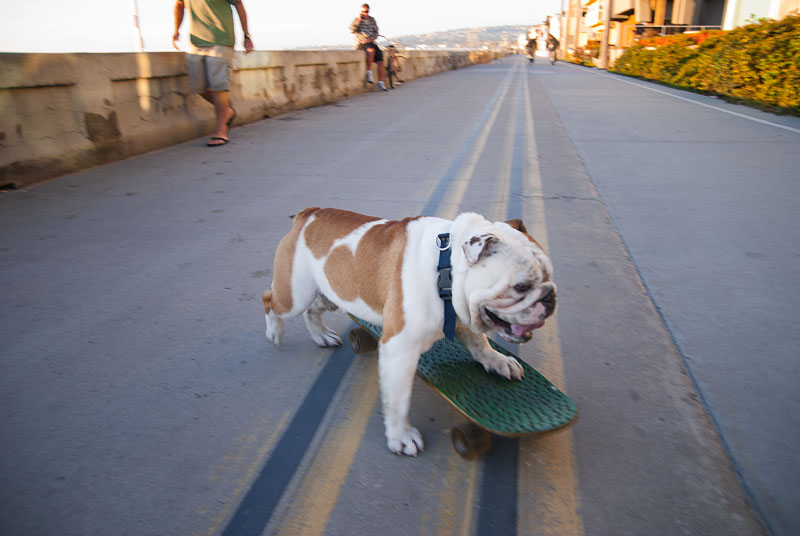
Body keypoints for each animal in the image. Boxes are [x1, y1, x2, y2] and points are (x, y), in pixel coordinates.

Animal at [262, 208, 556, 456]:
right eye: (521, 286)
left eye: (549, 275)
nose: (550, 297)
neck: (446, 270)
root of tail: (309, 213)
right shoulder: (399, 348)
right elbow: (398, 399)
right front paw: (401, 436)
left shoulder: (465, 319)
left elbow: (481, 343)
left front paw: (499, 360)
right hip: (294, 295)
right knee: (270, 300)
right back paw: (274, 332)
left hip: (333, 292)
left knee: (312, 311)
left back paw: (321, 335)